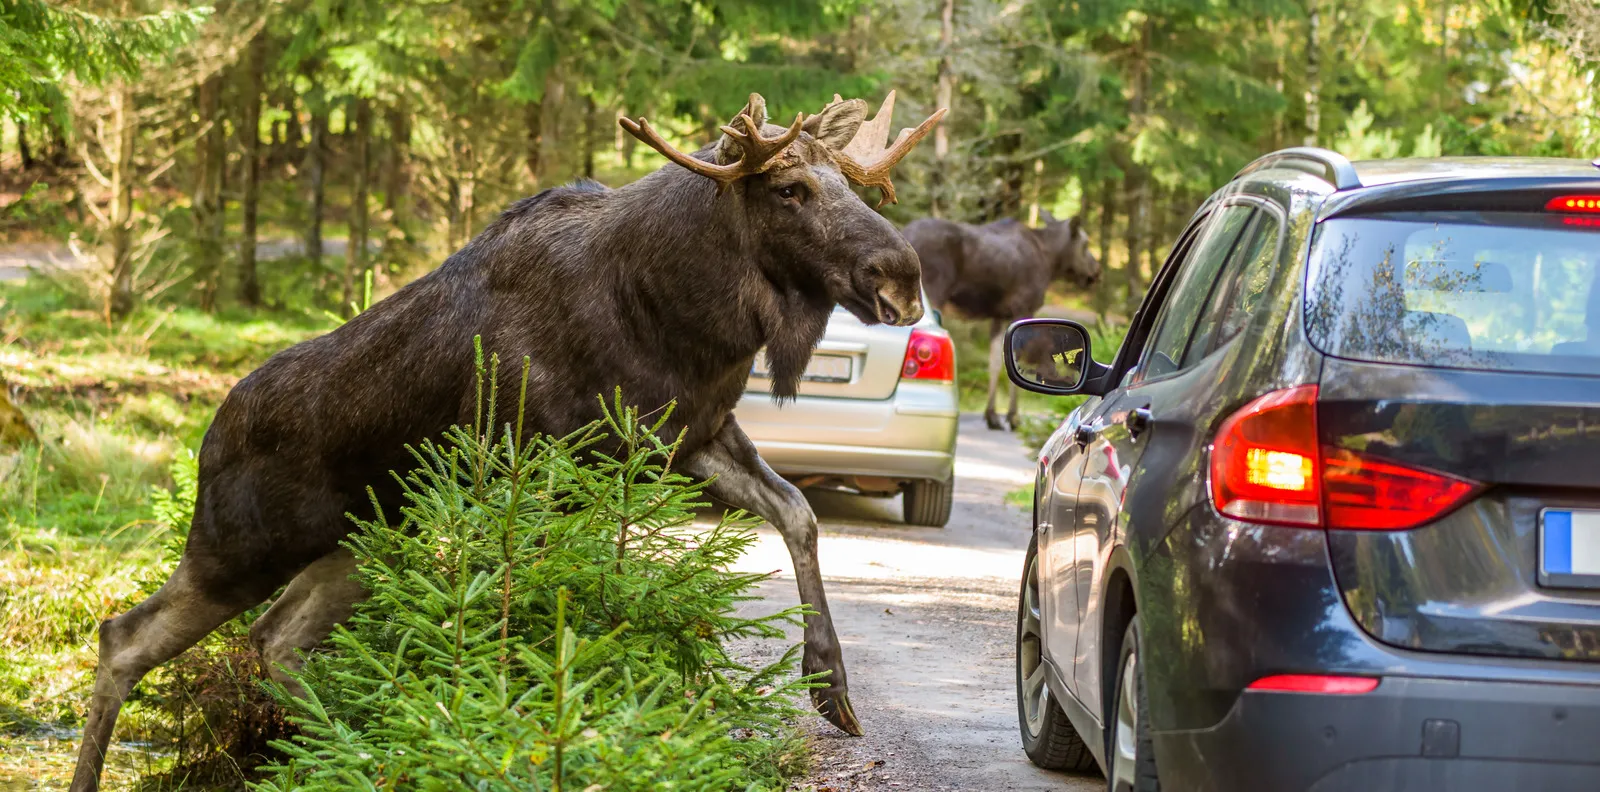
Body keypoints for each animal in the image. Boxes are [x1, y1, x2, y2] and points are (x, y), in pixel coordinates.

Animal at [70, 91, 945, 792]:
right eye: (791, 189)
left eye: (850, 185)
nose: (903, 277)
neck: (680, 314)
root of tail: (205, 441)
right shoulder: (549, 461)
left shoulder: (690, 437)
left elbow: (799, 512)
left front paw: (831, 686)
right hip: (241, 548)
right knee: (124, 637)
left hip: (360, 541)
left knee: (273, 638)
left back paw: (358, 743)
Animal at [903, 213, 1099, 430]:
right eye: (1085, 243)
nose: (1096, 272)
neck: (1050, 260)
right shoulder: (1023, 308)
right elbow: (1021, 361)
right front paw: (1013, 417)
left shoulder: (999, 315)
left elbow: (996, 362)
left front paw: (992, 415)